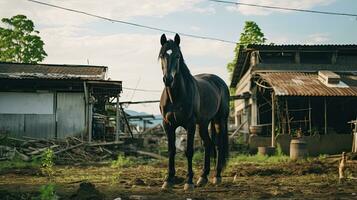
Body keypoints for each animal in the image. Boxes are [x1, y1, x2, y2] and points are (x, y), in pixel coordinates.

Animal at [158, 33, 229, 191]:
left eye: (178, 56)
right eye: (162, 55)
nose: (168, 79)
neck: (176, 96)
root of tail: (219, 81)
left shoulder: (189, 125)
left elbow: (189, 151)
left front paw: (188, 182)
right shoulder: (168, 125)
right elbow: (171, 150)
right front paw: (168, 180)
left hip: (219, 120)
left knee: (219, 145)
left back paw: (217, 176)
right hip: (203, 123)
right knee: (208, 144)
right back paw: (203, 177)